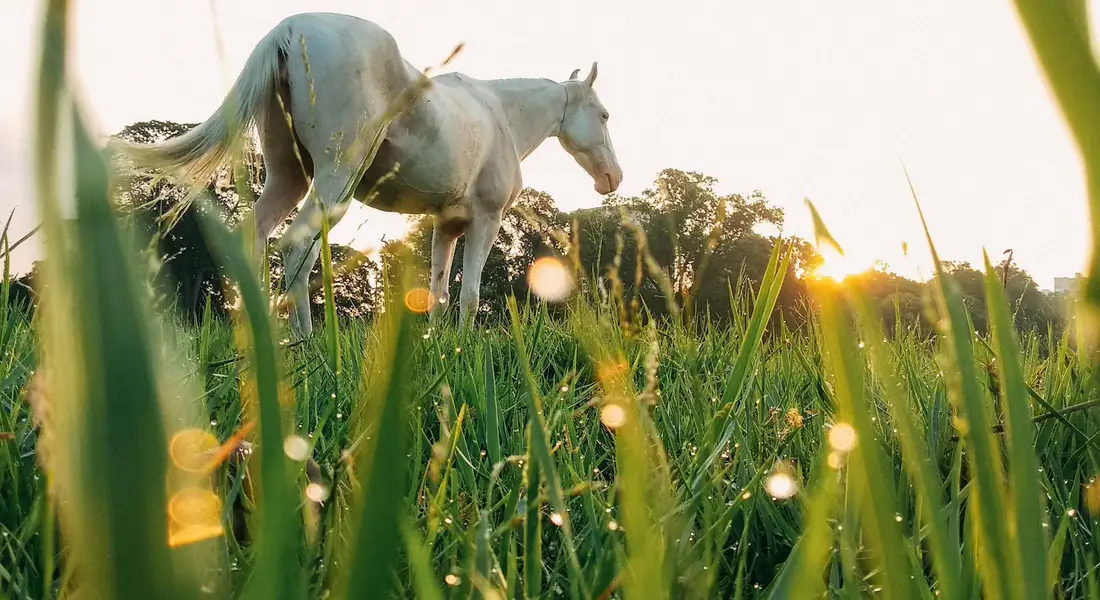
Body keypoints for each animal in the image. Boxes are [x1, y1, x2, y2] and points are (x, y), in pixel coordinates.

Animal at [112, 12, 623, 340]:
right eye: (603, 115)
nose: (612, 178)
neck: (500, 114)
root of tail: (288, 29)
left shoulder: (446, 227)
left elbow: (438, 293)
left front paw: (440, 350)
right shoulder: (486, 220)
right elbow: (470, 296)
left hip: (288, 179)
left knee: (255, 238)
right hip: (335, 178)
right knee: (296, 245)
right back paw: (307, 345)